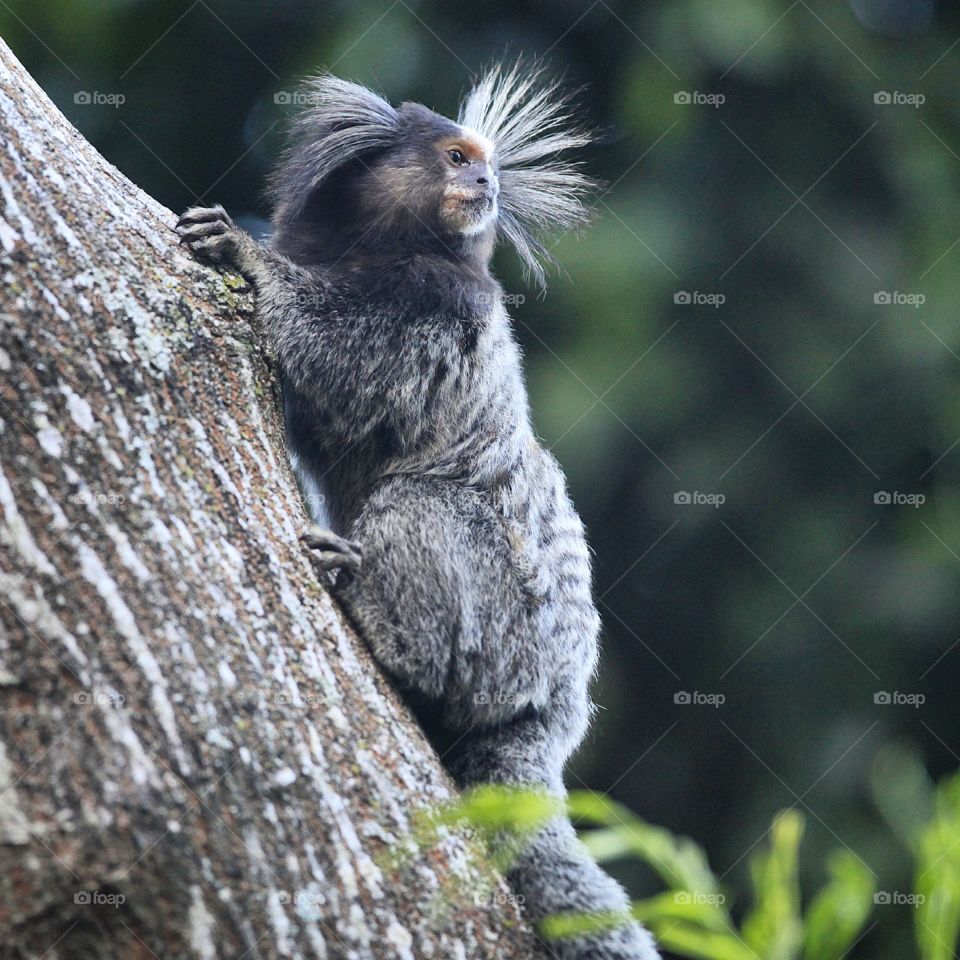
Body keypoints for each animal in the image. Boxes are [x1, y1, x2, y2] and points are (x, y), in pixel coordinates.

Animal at [178, 63, 660, 956]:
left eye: (486, 164)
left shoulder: (442, 301)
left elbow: (341, 359)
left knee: (422, 505)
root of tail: (553, 710)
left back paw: (380, 617)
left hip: (509, 636)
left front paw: (251, 261)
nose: (486, 186)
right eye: (457, 156)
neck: (377, 246)